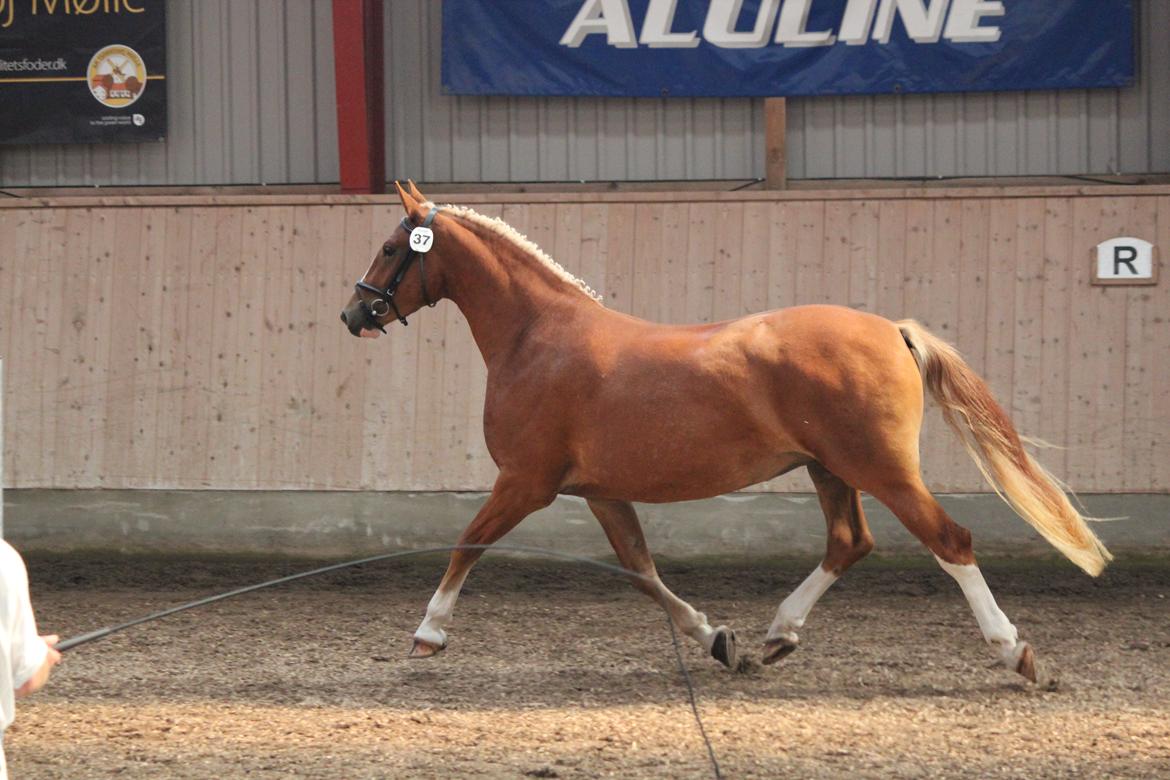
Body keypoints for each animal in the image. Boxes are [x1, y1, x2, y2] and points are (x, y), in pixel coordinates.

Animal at [339, 183, 1104, 682]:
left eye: (390, 247)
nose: (354, 314)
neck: (537, 339)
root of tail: (892, 329)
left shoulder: (526, 482)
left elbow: (467, 544)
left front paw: (427, 634)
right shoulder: (598, 491)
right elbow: (642, 572)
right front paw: (716, 639)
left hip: (879, 469)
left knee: (950, 541)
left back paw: (1016, 653)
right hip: (830, 468)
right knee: (849, 543)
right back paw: (776, 638)